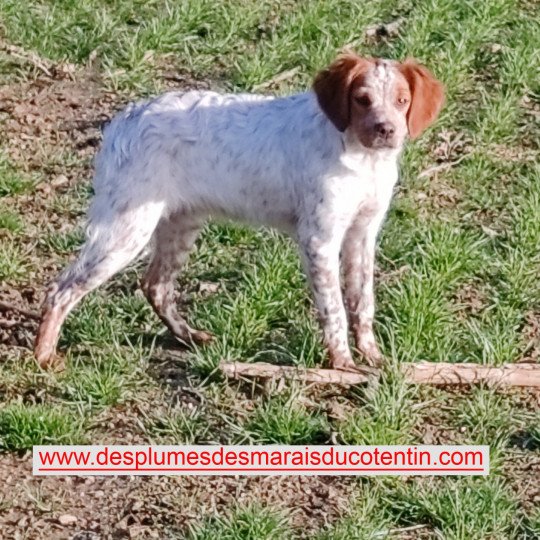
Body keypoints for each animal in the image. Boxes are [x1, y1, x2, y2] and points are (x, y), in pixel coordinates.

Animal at [35, 51, 446, 372]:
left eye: (401, 100)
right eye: (361, 99)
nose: (386, 130)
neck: (362, 158)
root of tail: (123, 120)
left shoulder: (363, 234)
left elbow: (363, 303)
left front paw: (373, 358)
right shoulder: (319, 237)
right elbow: (334, 308)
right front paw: (343, 364)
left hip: (180, 223)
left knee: (155, 285)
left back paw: (188, 337)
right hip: (126, 227)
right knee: (61, 288)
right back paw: (43, 357)